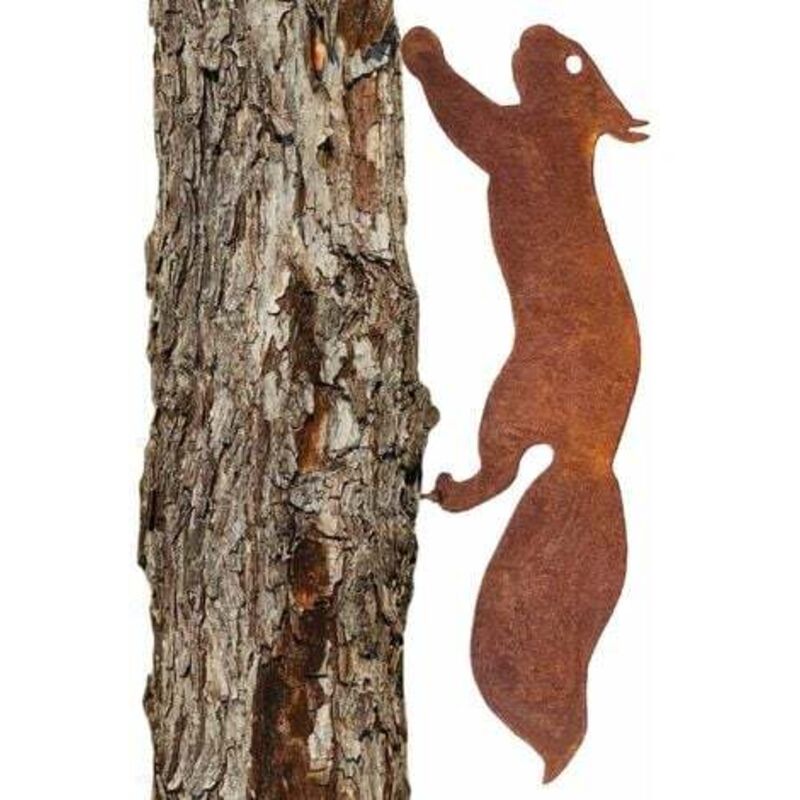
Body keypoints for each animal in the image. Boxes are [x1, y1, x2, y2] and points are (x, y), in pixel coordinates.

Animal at [402, 25, 646, 782]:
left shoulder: (515, 142)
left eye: (571, 61)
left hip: (508, 403)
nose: (533, 30)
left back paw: (448, 490)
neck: (568, 135)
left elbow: (468, 117)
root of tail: (592, 457)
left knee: (500, 473)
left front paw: (421, 49)